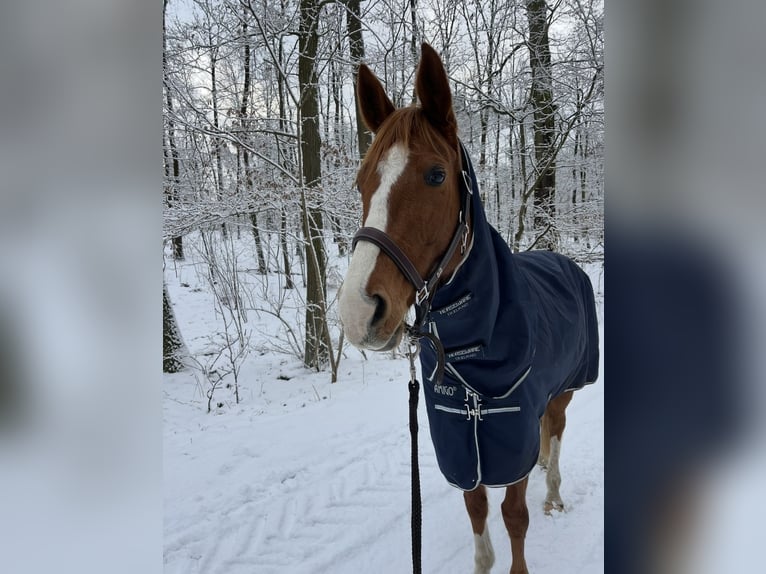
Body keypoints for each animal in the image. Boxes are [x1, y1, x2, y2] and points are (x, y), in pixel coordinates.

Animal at [338, 43, 599, 574]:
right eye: (361, 182)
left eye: (436, 176)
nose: (358, 311)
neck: (471, 349)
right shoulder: (460, 439)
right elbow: (477, 510)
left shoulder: (508, 435)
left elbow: (514, 516)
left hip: (565, 390)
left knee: (556, 433)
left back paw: (554, 494)